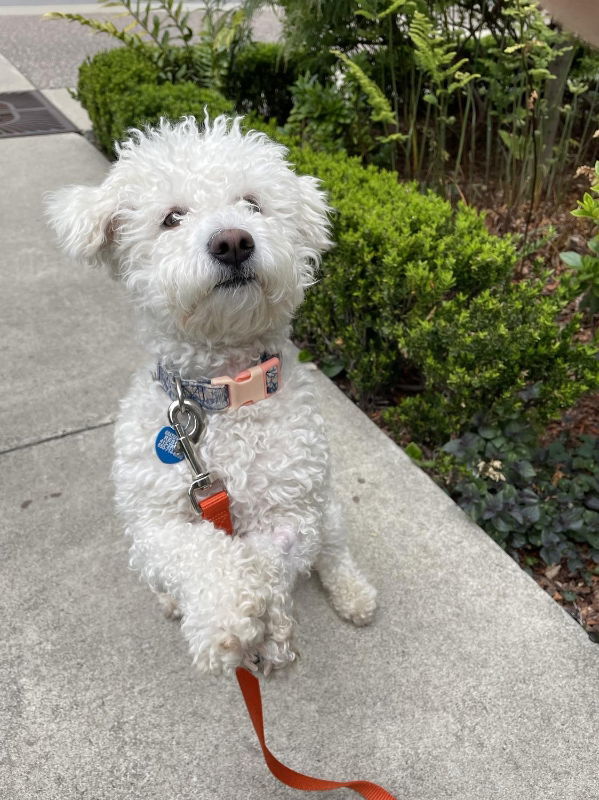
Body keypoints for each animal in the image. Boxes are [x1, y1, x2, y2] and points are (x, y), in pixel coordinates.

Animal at [48, 117, 376, 676]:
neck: (222, 393)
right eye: (171, 218)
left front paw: (269, 629)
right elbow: (198, 552)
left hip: (327, 507)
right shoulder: (153, 522)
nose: (233, 241)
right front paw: (224, 619)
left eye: (252, 203)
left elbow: (265, 559)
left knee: (333, 552)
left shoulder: (292, 512)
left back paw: (353, 594)